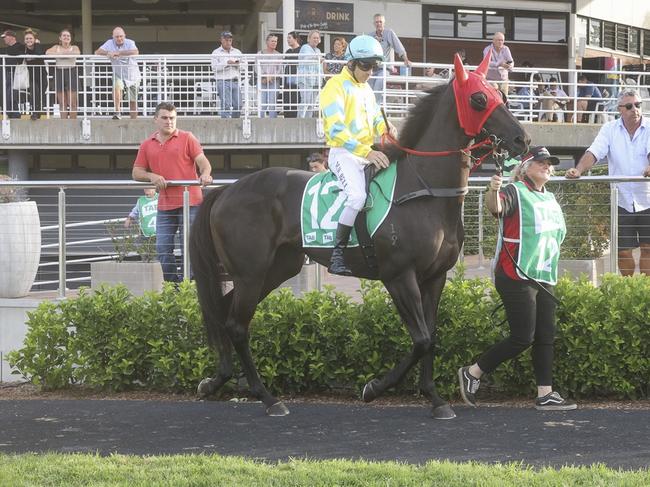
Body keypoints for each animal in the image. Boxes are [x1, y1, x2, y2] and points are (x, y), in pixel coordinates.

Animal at [187, 56, 528, 420]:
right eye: (478, 99)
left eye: (501, 96)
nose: (522, 139)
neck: (424, 192)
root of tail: (226, 191)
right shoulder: (398, 276)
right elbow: (421, 339)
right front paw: (375, 387)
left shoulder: (435, 276)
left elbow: (432, 335)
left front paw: (434, 398)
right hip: (251, 272)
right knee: (237, 325)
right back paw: (267, 397)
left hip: (278, 268)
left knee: (224, 313)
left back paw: (215, 380)